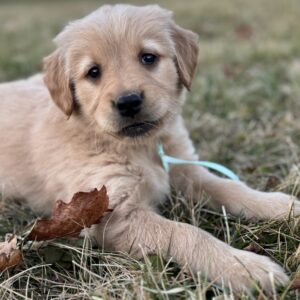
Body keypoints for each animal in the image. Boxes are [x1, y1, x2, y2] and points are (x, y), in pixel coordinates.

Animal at [0, 3, 300, 294]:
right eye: (93, 72)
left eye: (148, 57)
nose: (128, 102)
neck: (140, 147)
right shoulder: (112, 214)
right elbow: (187, 234)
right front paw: (245, 267)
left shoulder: (185, 168)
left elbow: (228, 187)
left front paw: (282, 205)